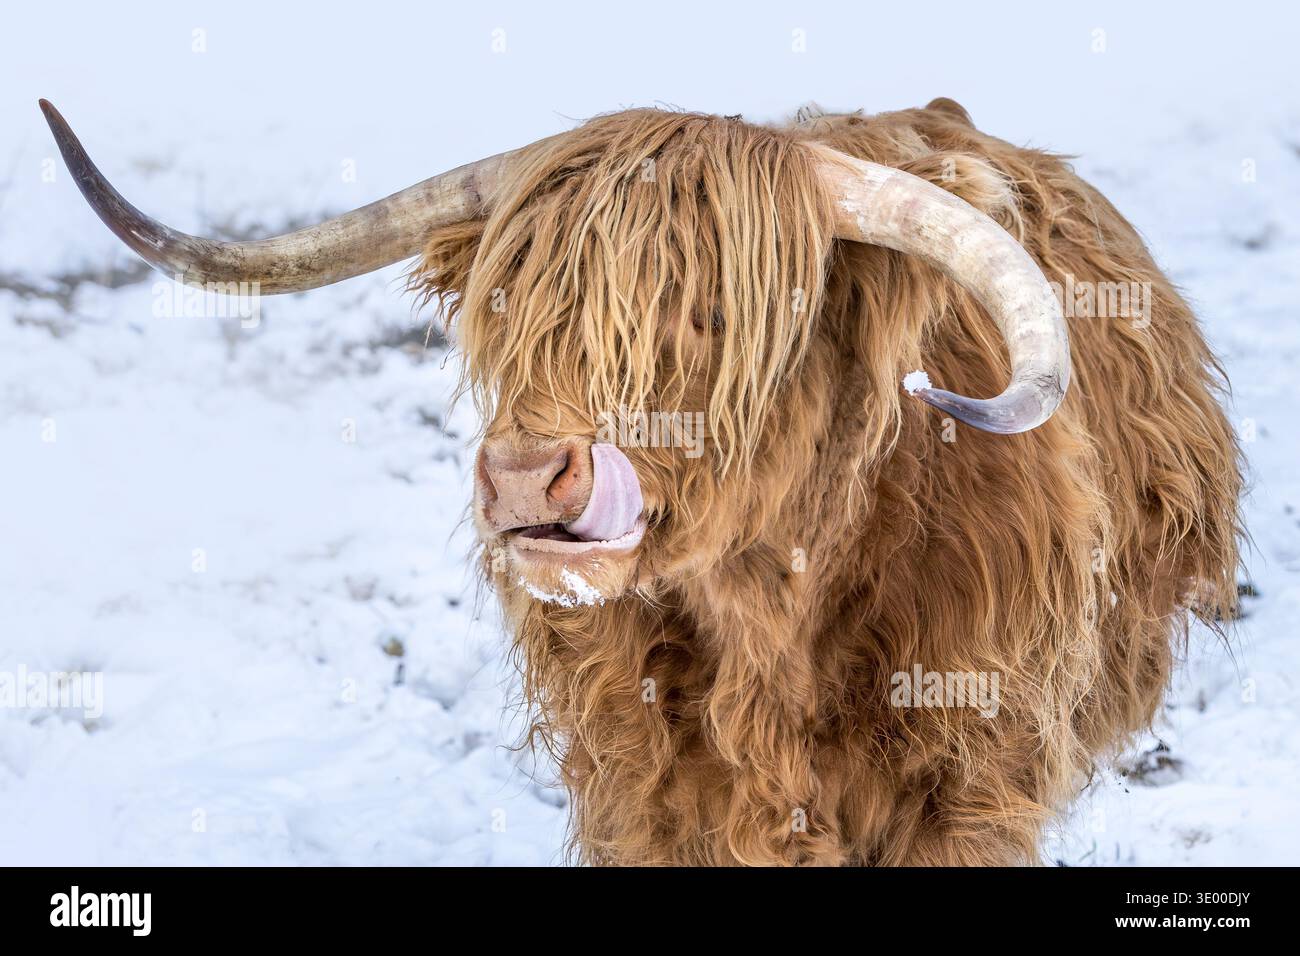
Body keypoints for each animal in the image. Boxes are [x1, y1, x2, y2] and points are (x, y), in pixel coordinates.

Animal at [41, 96, 1243, 865]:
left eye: (713, 313)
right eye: (509, 308)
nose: (530, 476)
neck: (774, 615)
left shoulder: (966, 781)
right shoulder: (641, 783)